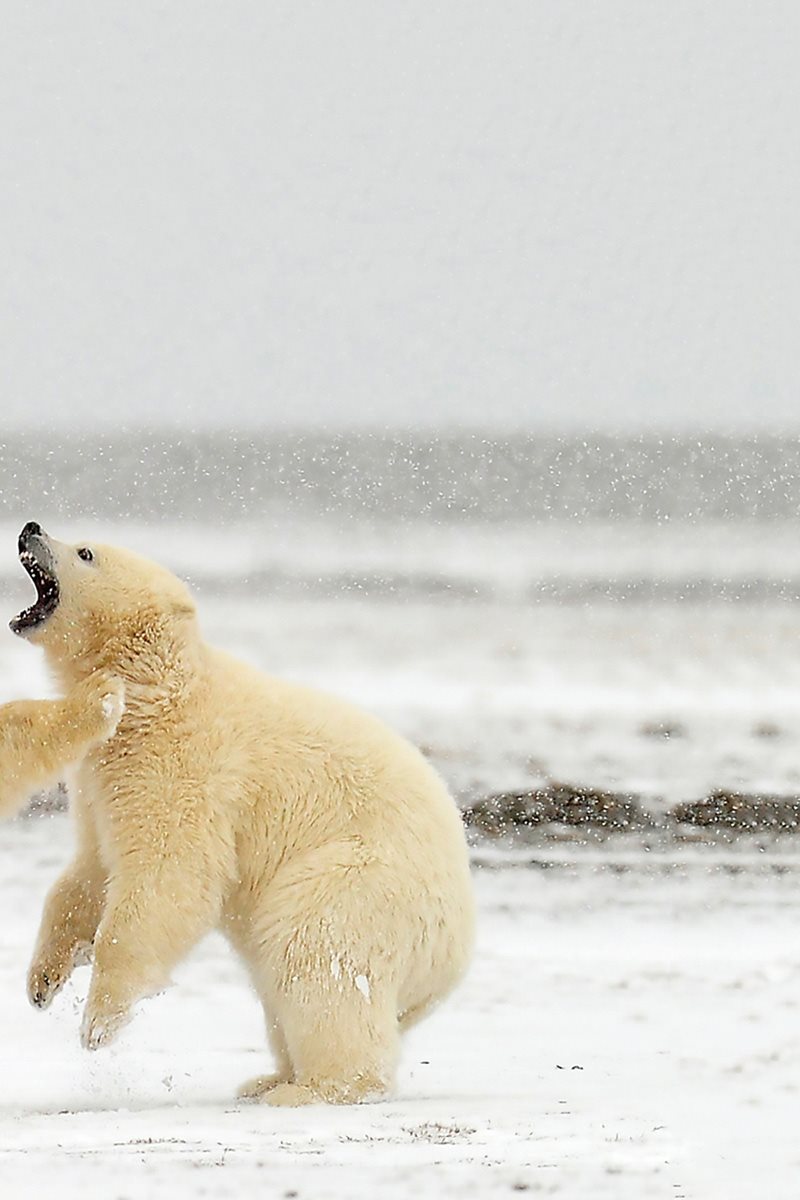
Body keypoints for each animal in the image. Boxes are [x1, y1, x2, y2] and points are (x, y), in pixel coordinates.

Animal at [7, 523, 474, 1104]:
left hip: (364, 881)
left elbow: (170, 878)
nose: (31, 528)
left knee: (317, 952)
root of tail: (451, 962)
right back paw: (269, 1077)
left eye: (85, 552)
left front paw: (98, 1024)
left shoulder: (186, 765)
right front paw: (43, 981)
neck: (158, 688)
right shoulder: (101, 777)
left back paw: (308, 1089)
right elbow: (92, 869)